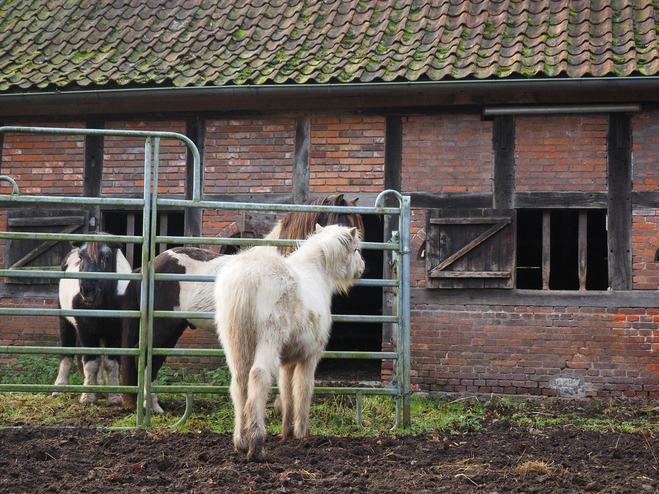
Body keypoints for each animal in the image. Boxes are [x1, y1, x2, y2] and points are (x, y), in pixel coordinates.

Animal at [52, 235, 131, 406]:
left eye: (106, 257)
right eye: (81, 257)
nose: (87, 290)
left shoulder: (115, 333)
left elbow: (110, 363)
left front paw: (114, 397)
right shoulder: (86, 331)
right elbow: (90, 362)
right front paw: (88, 396)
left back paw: (100, 388)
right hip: (66, 323)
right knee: (67, 353)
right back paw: (60, 388)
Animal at [120, 195, 364, 412]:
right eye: (345, 224)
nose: (361, 266)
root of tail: (150, 265)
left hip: (173, 329)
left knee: (154, 358)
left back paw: (153, 406)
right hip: (162, 326)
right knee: (142, 356)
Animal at [214, 224, 364, 464]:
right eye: (357, 249)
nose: (362, 267)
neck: (317, 274)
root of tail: (249, 274)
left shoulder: (287, 361)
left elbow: (285, 392)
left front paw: (287, 433)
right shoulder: (310, 357)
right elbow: (303, 390)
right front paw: (303, 433)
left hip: (236, 346)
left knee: (239, 384)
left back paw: (241, 442)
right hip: (268, 341)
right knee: (258, 377)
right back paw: (257, 446)